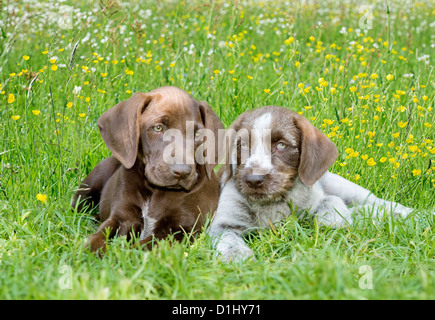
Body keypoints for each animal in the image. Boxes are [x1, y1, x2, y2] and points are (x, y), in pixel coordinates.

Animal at [72, 85, 225, 252]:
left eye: (197, 134)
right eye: (158, 128)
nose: (183, 172)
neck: (155, 191)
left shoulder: (182, 231)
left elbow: (141, 247)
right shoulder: (121, 217)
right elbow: (99, 236)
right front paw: (88, 252)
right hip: (89, 186)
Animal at [211, 106, 416, 262]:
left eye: (281, 145)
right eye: (242, 145)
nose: (254, 180)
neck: (274, 201)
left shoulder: (317, 197)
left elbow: (330, 202)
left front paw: (332, 221)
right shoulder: (223, 223)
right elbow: (227, 239)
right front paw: (236, 255)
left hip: (344, 187)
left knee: (373, 201)